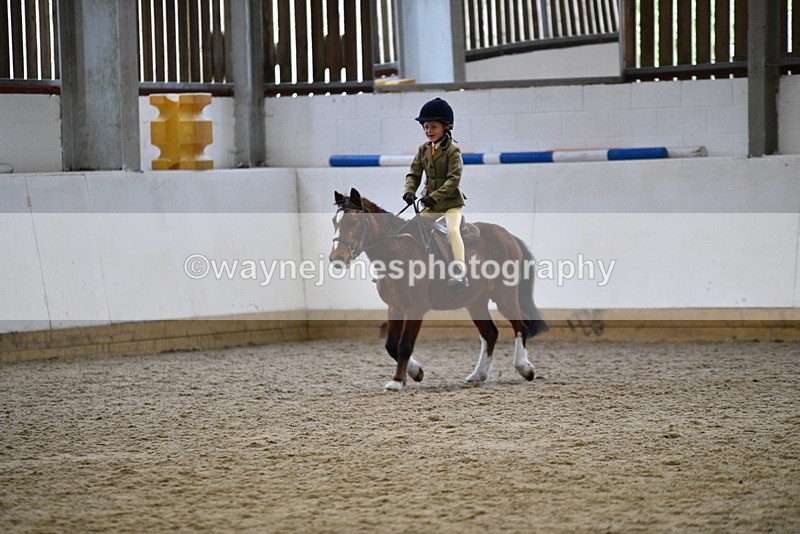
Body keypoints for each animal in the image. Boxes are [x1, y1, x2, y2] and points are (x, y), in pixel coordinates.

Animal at [329, 188, 549, 392]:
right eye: (334, 222)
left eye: (354, 222)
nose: (337, 259)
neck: (399, 251)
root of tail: (508, 236)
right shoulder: (395, 307)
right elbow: (391, 346)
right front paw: (416, 372)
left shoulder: (415, 309)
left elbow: (404, 345)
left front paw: (398, 381)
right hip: (475, 302)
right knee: (490, 333)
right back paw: (478, 375)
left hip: (505, 297)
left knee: (520, 327)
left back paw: (525, 369)